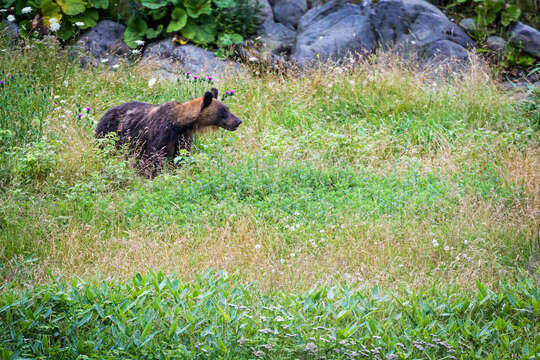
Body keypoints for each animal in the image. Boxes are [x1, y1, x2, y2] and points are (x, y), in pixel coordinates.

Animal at [96, 89, 242, 175]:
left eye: (227, 108)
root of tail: (105, 112)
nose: (238, 121)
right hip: (109, 134)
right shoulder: (162, 132)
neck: (180, 124)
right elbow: (153, 157)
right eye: (224, 111)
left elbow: (181, 156)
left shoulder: (182, 137)